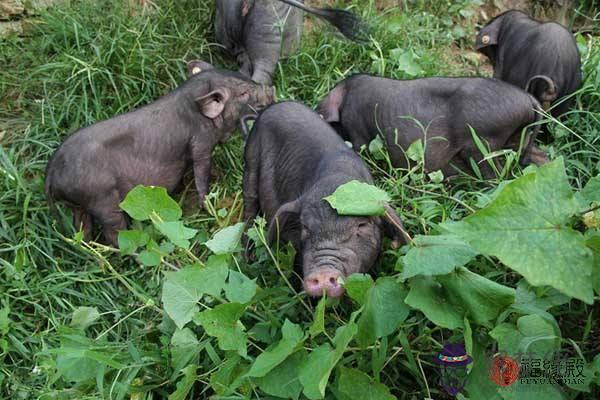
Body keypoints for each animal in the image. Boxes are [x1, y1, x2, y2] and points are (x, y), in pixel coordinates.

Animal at [45, 61, 276, 245]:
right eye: (243, 93)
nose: (271, 88)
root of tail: (51, 172)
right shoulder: (200, 142)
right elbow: (201, 172)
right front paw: (208, 206)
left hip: (78, 203)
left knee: (82, 229)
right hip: (101, 198)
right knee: (114, 231)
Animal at [318, 74, 548, 177]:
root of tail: (528, 98)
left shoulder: (357, 131)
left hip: (483, 143)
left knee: (495, 175)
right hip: (518, 138)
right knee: (540, 156)